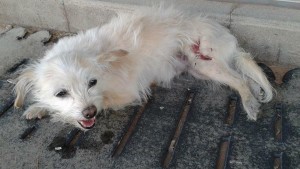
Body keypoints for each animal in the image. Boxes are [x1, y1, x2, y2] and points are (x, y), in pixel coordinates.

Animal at [14, 6, 274, 129]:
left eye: (92, 83)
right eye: (61, 93)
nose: (89, 113)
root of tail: (227, 35)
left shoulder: (127, 92)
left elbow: (104, 101)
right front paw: (38, 107)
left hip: (205, 62)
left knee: (240, 80)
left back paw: (250, 104)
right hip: (199, 67)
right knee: (244, 78)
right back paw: (256, 95)